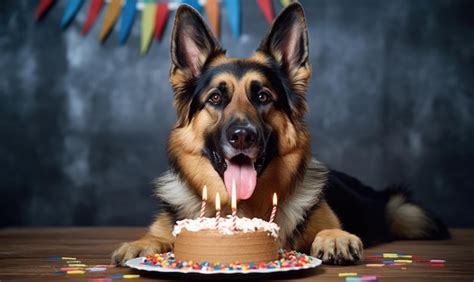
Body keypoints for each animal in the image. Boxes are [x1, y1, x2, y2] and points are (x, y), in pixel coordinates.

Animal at [111, 3, 448, 266]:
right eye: (215, 98)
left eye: (263, 97)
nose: (242, 136)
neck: (245, 206)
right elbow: (156, 236)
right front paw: (141, 244)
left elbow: (328, 229)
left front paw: (335, 238)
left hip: (403, 213)